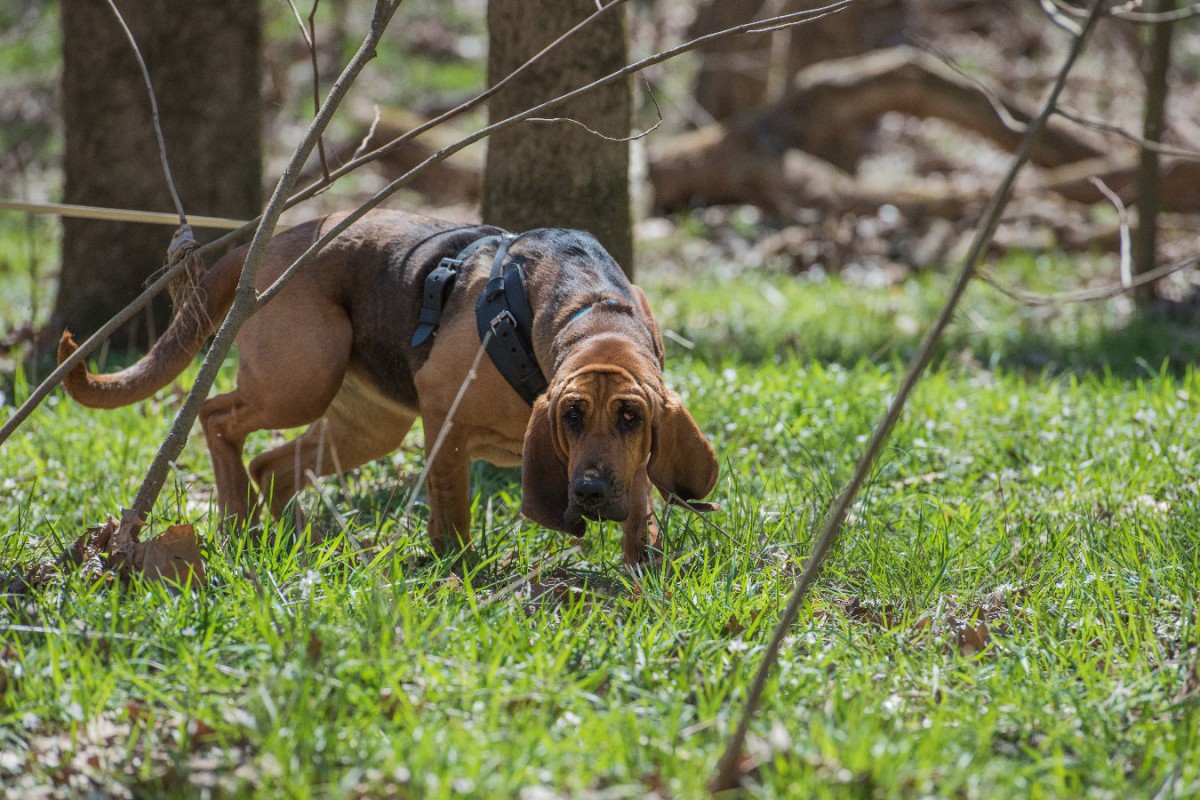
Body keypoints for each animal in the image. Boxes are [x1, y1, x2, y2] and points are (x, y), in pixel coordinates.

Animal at [58, 209, 720, 566]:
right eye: (571, 417)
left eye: (632, 419)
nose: (588, 492)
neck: (593, 310)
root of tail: (272, 242)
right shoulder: (445, 425)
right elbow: (452, 514)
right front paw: (461, 571)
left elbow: (641, 513)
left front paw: (641, 569)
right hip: (302, 380)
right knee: (217, 416)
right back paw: (239, 518)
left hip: (368, 425)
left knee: (273, 464)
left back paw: (293, 538)